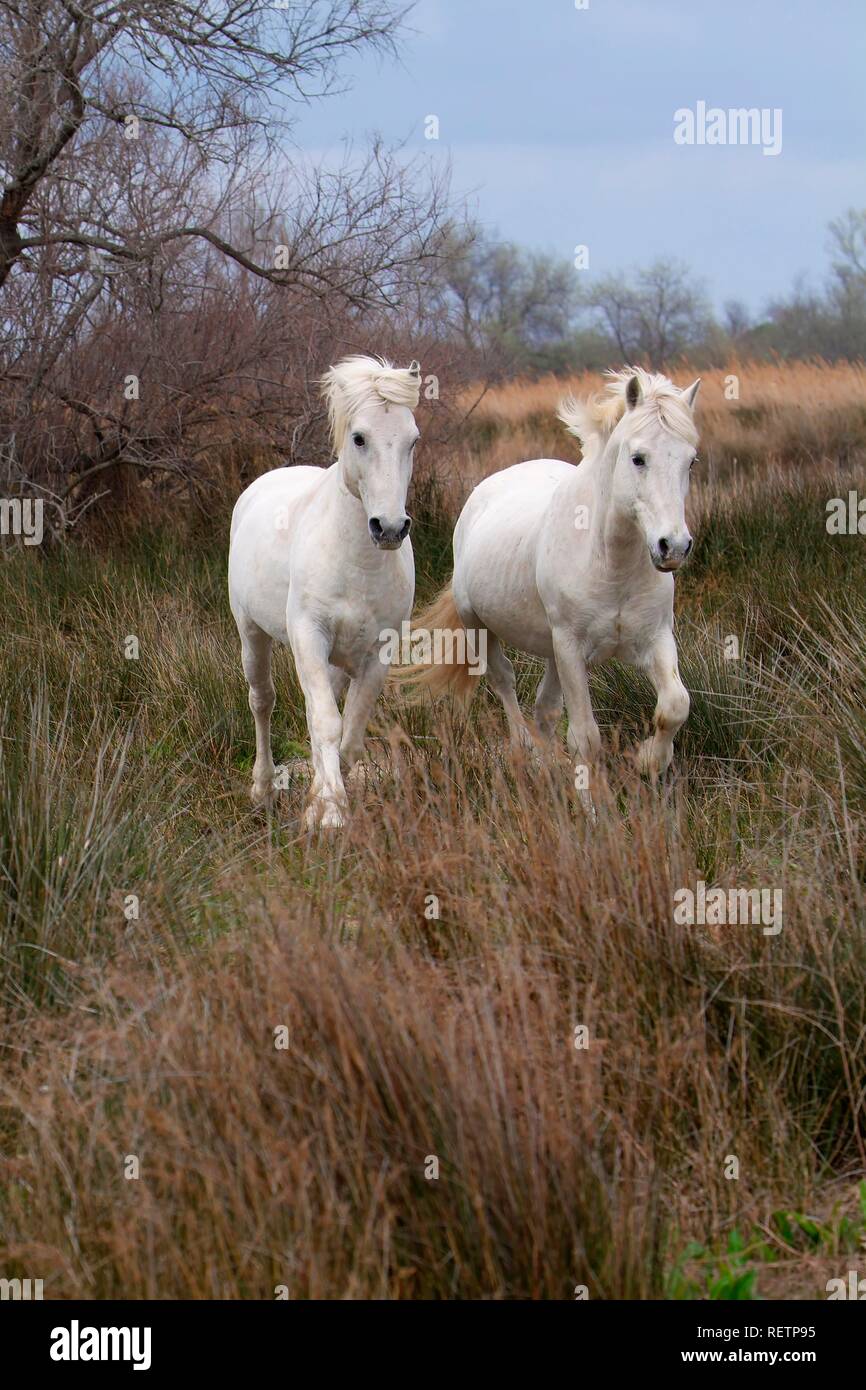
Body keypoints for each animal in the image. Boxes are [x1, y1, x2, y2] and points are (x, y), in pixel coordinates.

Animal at [229, 358, 422, 828]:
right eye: (359, 437)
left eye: (413, 440)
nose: (390, 528)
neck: (357, 565)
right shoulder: (309, 635)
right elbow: (326, 723)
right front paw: (331, 813)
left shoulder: (378, 651)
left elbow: (347, 733)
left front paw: (322, 801)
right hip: (251, 633)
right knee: (262, 701)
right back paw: (262, 789)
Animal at [403, 366, 700, 783]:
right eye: (638, 458)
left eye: (691, 462)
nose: (672, 546)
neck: (612, 566)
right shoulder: (570, 648)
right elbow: (585, 739)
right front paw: (592, 800)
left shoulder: (654, 639)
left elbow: (675, 705)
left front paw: (650, 760)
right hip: (480, 626)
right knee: (504, 680)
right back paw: (523, 754)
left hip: (551, 650)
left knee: (544, 710)